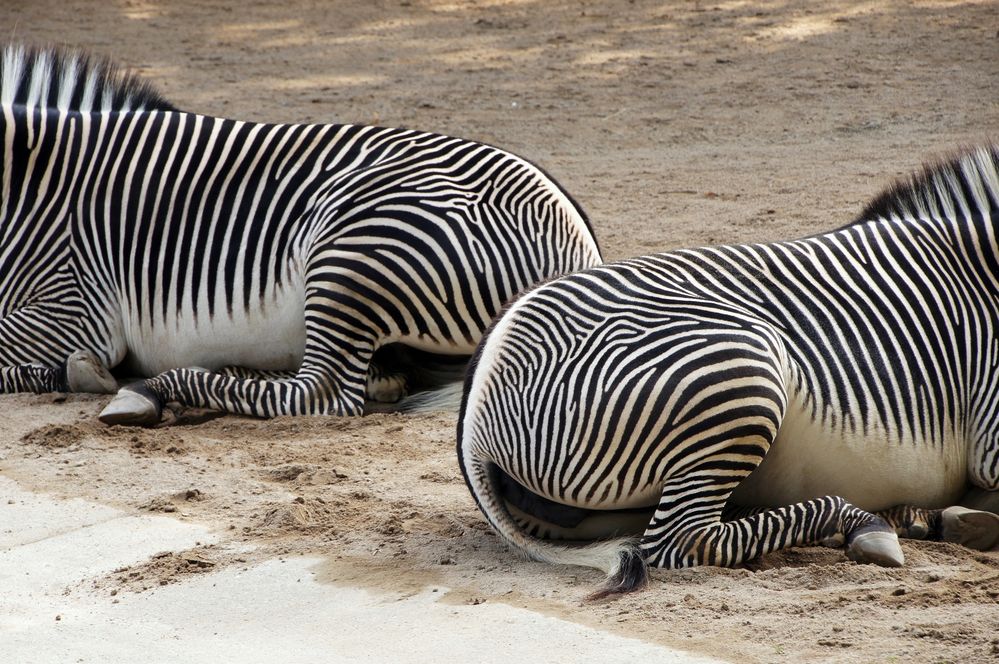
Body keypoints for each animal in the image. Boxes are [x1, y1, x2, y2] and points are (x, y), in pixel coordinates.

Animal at [0, 45, 600, 426]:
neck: (27, 192)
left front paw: (77, 373)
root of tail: (576, 237)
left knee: (321, 393)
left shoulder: (72, 306)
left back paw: (148, 392)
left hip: (352, 250)